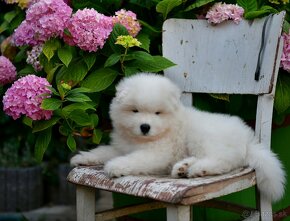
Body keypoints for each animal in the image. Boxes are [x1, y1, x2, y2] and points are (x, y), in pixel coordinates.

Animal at [71, 72, 286, 202]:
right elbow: (103, 151)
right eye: (135, 110)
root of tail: (248, 139)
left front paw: (115, 166)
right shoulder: (121, 146)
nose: (145, 127)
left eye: (157, 113)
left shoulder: (158, 153)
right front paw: (82, 157)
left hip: (203, 136)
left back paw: (197, 169)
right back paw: (183, 167)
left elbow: (135, 159)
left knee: (223, 161)